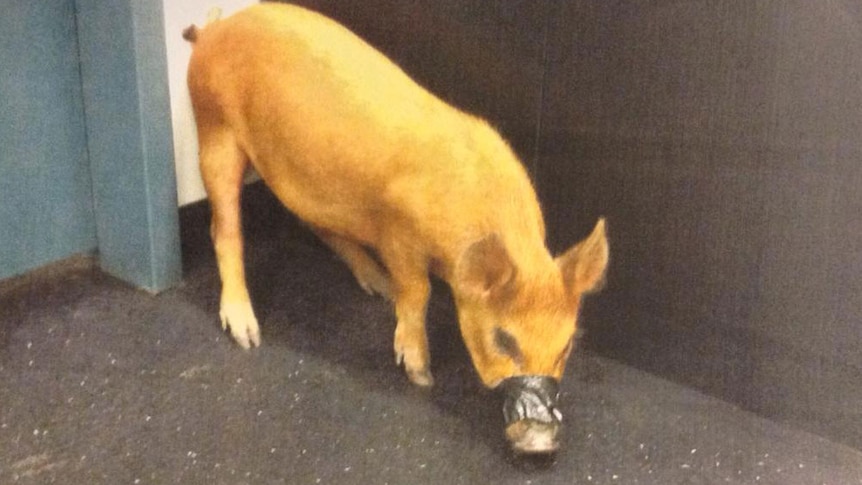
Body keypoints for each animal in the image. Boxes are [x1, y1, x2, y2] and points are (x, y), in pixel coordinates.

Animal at [186, 2, 612, 454]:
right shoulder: (397, 232)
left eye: (568, 343)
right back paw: (247, 333)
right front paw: (421, 375)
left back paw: (377, 285)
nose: (541, 444)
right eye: (503, 339)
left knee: (315, 224)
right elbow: (417, 291)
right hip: (213, 131)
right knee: (224, 229)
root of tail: (213, 31)